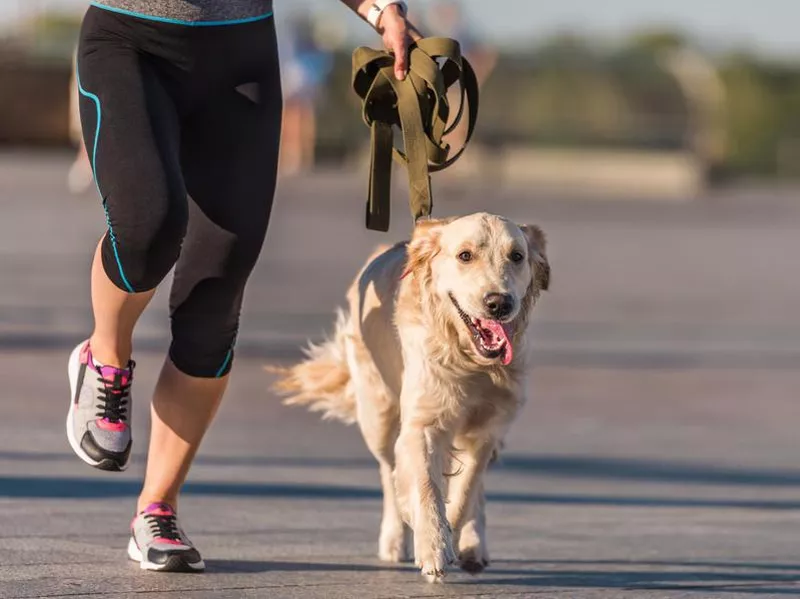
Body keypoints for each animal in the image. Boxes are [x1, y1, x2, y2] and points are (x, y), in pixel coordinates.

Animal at [268, 212, 552, 580]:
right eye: (465, 256)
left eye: (516, 256)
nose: (499, 303)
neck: (469, 360)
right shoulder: (422, 423)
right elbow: (425, 485)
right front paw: (432, 545)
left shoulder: (487, 430)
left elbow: (465, 494)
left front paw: (454, 536)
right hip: (379, 417)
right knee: (389, 473)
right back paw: (394, 539)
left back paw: (474, 545)